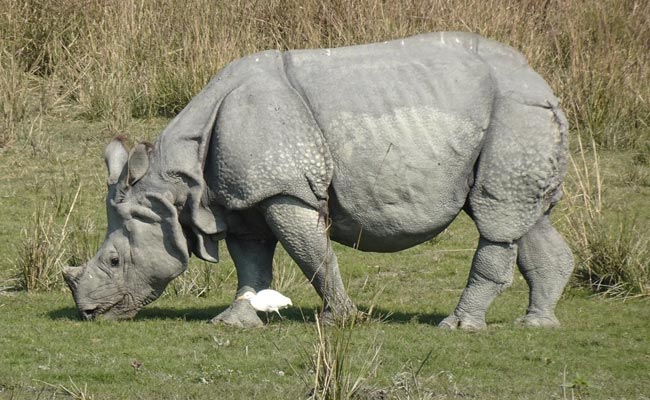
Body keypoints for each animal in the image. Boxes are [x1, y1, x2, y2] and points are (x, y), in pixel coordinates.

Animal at [63, 32, 573, 329]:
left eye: (113, 260)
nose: (87, 313)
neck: (176, 186)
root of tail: (541, 80)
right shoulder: (240, 196)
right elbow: (251, 262)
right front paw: (234, 322)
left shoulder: (282, 189)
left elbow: (314, 254)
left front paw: (339, 321)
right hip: (519, 118)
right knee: (524, 218)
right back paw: (536, 325)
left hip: (515, 111)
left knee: (495, 217)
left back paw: (457, 326)